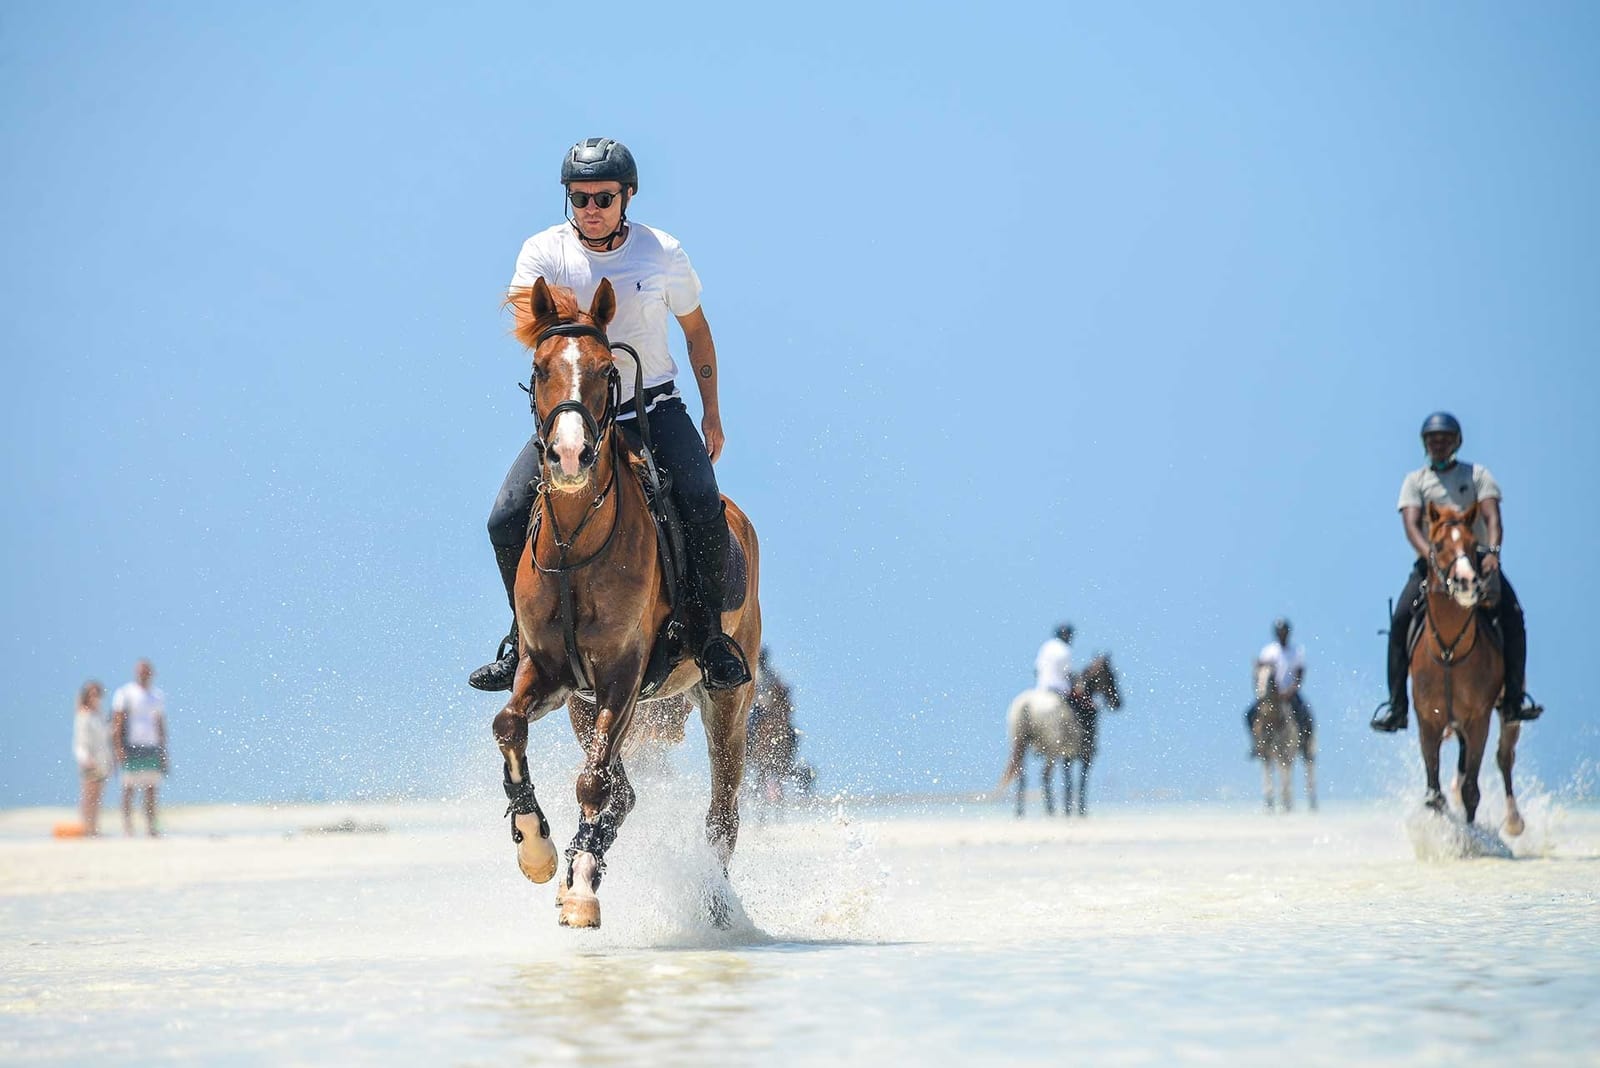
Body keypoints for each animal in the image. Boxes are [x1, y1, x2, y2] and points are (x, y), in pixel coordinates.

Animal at [489, 277, 762, 929]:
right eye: (539, 369)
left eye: (607, 370)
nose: (569, 457)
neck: (574, 541)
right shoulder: (550, 673)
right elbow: (508, 724)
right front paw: (537, 852)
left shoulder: (622, 675)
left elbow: (592, 784)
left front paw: (583, 892)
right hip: (582, 705)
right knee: (627, 791)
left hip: (726, 703)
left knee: (722, 813)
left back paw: (714, 905)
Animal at [998, 653, 1123, 817]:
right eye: (1111, 675)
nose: (1118, 703)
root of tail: (1026, 704)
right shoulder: (1085, 756)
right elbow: (1081, 782)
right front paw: (1080, 811)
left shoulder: (1067, 756)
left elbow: (1068, 783)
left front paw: (1068, 810)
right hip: (1052, 751)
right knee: (1045, 775)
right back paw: (1050, 810)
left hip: (1020, 745)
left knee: (1021, 774)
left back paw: (1021, 811)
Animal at [1250, 672, 1316, 812]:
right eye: (1256, 674)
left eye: (1271, 677)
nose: (1261, 692)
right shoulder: (1266, 755)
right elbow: (1269, 779)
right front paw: (1270, 806)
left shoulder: (1285, 753)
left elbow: (1284, 778)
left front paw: (1285, 805)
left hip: (1308, 750)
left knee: (1309, 776)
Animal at [1412, 502, 1522, 833]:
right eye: (1437, 545)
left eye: (1474, 546)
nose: (1466, 581)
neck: (1450, 652)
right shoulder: (1428, 721)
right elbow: (1433, 794)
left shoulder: (1478, 720)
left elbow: (1472, 790)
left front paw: (1470, 837)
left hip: (1507, 710)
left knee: (1504, 756)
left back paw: (1514, 821)